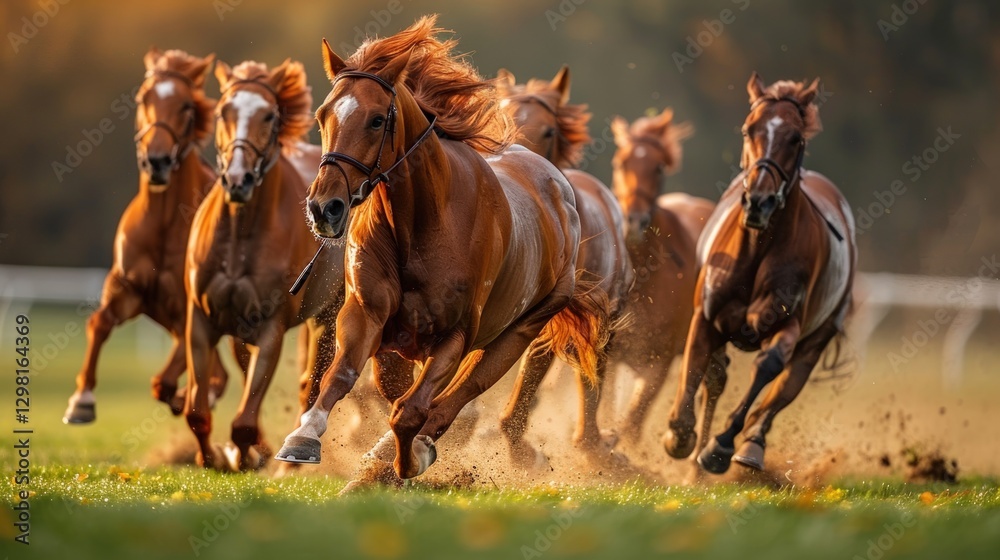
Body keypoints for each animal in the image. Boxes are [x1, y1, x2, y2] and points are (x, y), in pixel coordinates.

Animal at [63, 48, 232, 424]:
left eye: (186, 105)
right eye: (143, 98)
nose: (157, 160)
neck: (166, 223)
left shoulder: (188, 308)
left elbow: (169, 378)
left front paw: (185, 397)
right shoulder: (126, 286)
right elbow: (99, 323)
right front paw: (81, 400)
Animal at [183, 59, 344, 471]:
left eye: (269, 115)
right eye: (224, 111)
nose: (238, 179)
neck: (240, 236)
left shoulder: (273, 325)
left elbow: (243, 422)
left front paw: (246, 457)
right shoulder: (202, 319)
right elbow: (197, 412)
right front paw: (212, 458)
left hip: (327, 317)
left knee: (310, 385)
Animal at [275, 16, 603, 483]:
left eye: (377, 120)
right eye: (322, 115)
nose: (324, 207)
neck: (421, 225)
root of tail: (560, 190)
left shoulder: (455, 336)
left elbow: (410, 411)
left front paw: (407, 459)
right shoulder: (366, 312)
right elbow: (341, 375)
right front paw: (303, 438)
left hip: (519, 331)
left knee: (462, 392)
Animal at [662, 72, 856, 474]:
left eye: (795, 137)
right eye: (748, 129)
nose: (759, 201)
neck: (758, 246)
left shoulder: (785, 318)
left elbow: (769, 366)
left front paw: (720, 446)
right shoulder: (707, 315)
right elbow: (697, 368)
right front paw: (680, 434)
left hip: (819, 336)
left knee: (786, 385)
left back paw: (751, 444)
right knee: (718, 378)